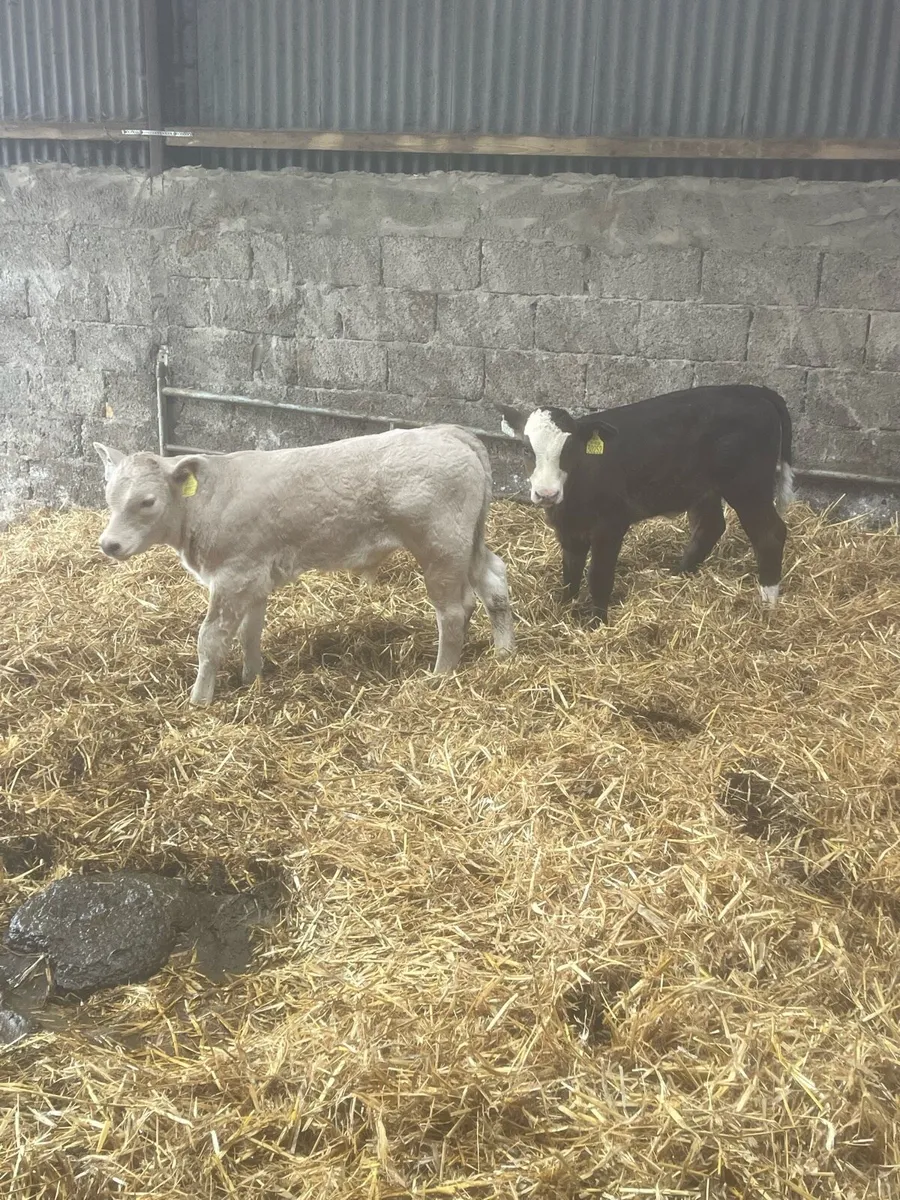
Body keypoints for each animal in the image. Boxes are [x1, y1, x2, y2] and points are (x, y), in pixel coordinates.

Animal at [93, 425, 515, 704]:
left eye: (147, 501)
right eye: (108, 493)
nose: (109, 544)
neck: (204, 505)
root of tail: (446, 432)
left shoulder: (231, 577)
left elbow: (211, 639)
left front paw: (199, 700)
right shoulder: (254, 577)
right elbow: (249, 633)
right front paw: (251, 677)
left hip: (439, 548)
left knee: (453, 611)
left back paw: (440, 675)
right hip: (467, 544)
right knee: (493, 583)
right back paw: (504, 653)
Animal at [497, 385, 793, 624]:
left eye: (569, 450)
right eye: (526, 449)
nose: (546, 493)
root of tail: (752, 390)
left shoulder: (611, 525)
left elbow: (598, 575)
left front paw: (596, 623)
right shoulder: (568, 529)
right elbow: (570, 572)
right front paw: (564, 609)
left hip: (748, 486)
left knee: (769, 535)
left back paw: (768, 603)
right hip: (704, 488)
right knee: (711, 526)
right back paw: (679, 574)